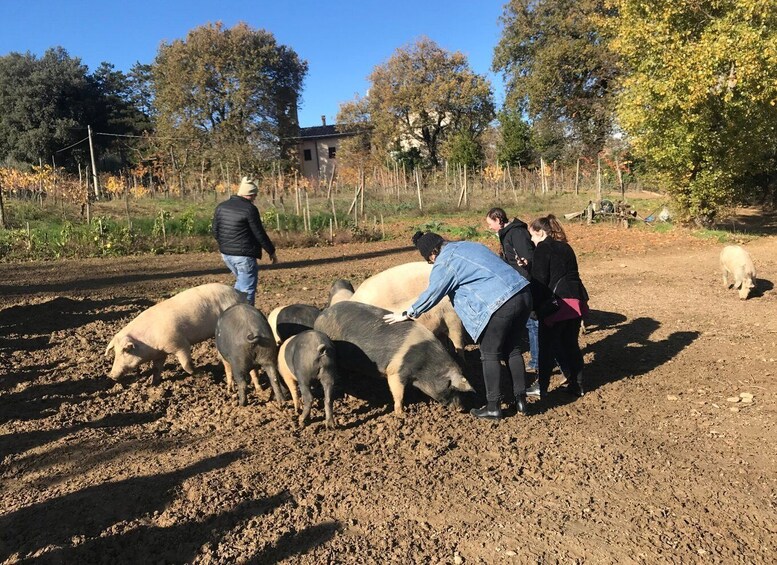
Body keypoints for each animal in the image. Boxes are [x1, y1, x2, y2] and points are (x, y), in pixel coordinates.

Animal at [104, 282, 241, 384]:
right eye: (115, 352)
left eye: (125, 351)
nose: (111, 375)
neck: (150, 341)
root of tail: (238, 294)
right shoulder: (160, 353)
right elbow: (156, 369)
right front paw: (153, 384)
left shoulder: (179, 343)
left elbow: (186, 365)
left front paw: (203, 375)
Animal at [310, 300, 472, 414]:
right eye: (451, 386)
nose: (462, 408)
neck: (426, 364)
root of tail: (319, 318)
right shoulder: (395, 371)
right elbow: (398, 393)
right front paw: (401, 413)